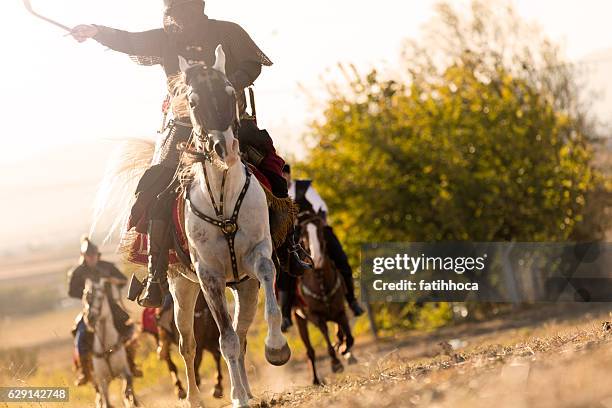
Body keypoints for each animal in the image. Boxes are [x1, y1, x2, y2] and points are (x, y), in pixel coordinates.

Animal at [81, 278, 137, 406]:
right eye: (85, 297)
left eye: (100, 297)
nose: (90, 318)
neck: (105, 346)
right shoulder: (103, 380)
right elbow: (106, 401)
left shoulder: (124, 372)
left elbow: (126, 389)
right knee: (99, 395)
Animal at [292, 212, 356, 384]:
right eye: (303, 236)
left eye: (321, 232)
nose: (317, 258)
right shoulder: (316, 316)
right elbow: (326, 334)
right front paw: (336, 363)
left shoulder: (340, 311)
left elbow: (347, 335)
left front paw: (343, 348)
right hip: (298, 318)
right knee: (310, 351)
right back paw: (316, 380)